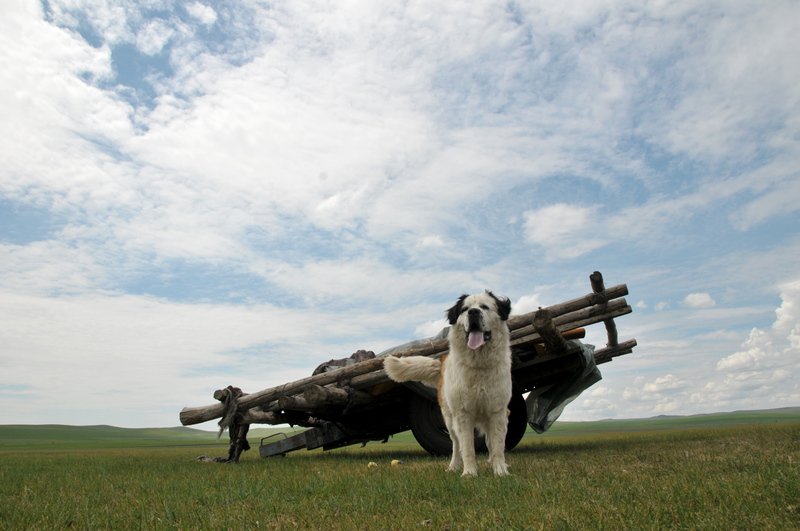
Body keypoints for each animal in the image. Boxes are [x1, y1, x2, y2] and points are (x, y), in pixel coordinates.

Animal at [382, 290, 512, 478]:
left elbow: (497, 444)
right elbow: (467, 447)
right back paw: (453, 467)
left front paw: (500, 470)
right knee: (456, 446)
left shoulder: (498, 411)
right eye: (465, 309)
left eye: (484, 307)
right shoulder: (463, 414)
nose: (473, 312)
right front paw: (469, 473)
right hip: (450, 421)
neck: (479, 365)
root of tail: (441, 361)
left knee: (489, 441)